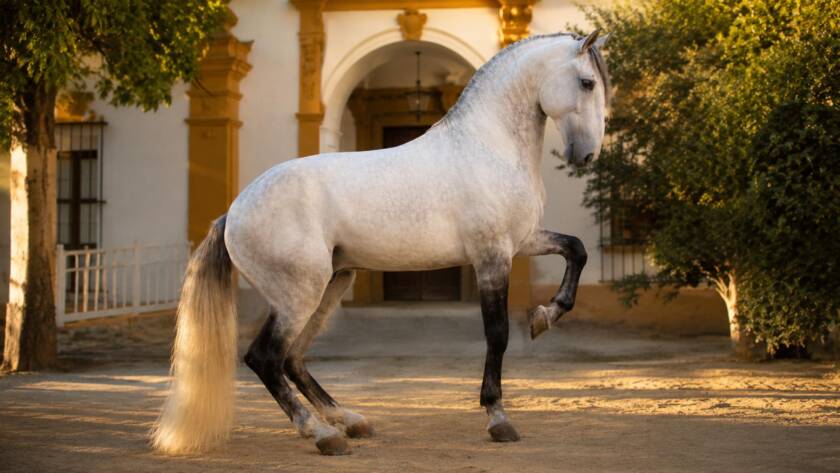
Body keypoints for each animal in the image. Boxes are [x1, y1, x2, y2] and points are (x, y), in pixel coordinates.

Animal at [151, 30, 610, 456]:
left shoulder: (523, 241)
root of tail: (233, 212)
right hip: (298, 294)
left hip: (331, 284)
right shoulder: (492, 256)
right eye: (587, 83)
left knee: (293, 358)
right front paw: (499, 419)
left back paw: (350, 421)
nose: (585, 155)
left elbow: (577, 249)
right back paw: (323, 435)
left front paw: (544, 317)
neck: (486, 146)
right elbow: (496, 334)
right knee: (265, 358)